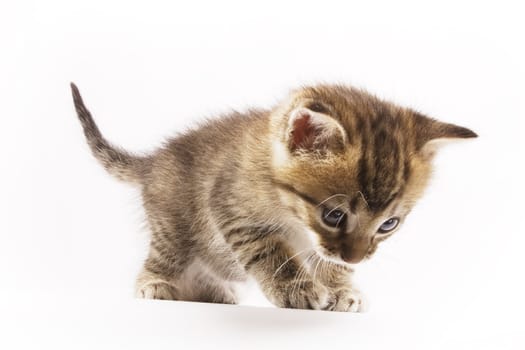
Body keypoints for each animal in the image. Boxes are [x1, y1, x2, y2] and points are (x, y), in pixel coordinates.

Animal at [71, 82, 476, 312]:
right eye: (333, 215)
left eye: (389, 224)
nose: (357, 259)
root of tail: (154, 161)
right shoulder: (233, 210)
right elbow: (273, 254)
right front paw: (298, 290)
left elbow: (328, 262)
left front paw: (342, 289)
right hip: (173, 226)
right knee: (165, 257)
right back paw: (154, 284)